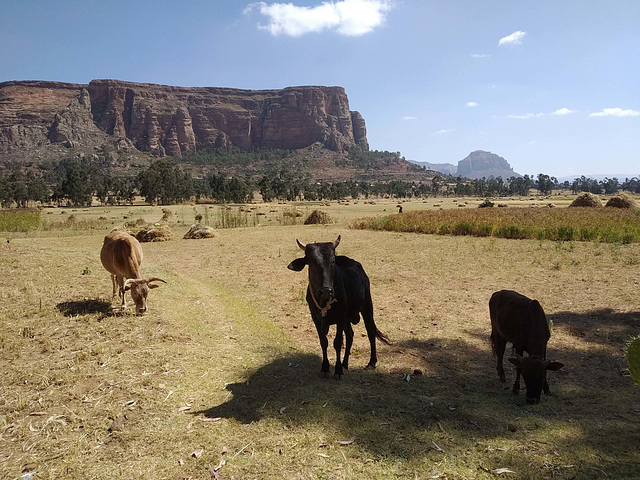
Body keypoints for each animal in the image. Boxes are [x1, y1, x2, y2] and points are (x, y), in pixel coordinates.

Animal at [288, 235, 390, 378]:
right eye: (311, 263)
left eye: (333, 261)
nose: (326, 290)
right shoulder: (315, 318)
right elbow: (324, 342)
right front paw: (325, 368)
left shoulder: (341, 317)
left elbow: (337, 342)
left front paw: (337, 371)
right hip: (348, 319)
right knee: (350, 335)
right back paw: (345, 364)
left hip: (367, 307)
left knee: (370, 332)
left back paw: (371, 362)